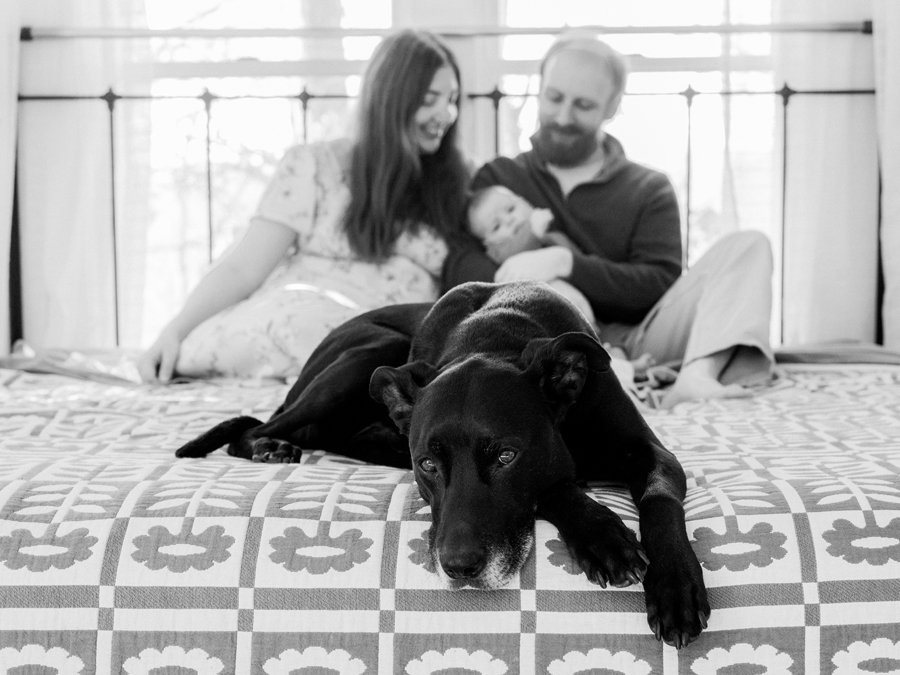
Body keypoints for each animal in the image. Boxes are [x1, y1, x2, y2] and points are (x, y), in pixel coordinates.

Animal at [176, 282, 712, 648]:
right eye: (428, 465)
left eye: (506, 455)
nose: (459, 568)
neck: (496, 334)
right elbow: (555, 486)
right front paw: (603, 537)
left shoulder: (652, 453)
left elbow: (660, 499)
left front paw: (675, 588)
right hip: (366, 359)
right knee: (256, 428)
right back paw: (271, 447)